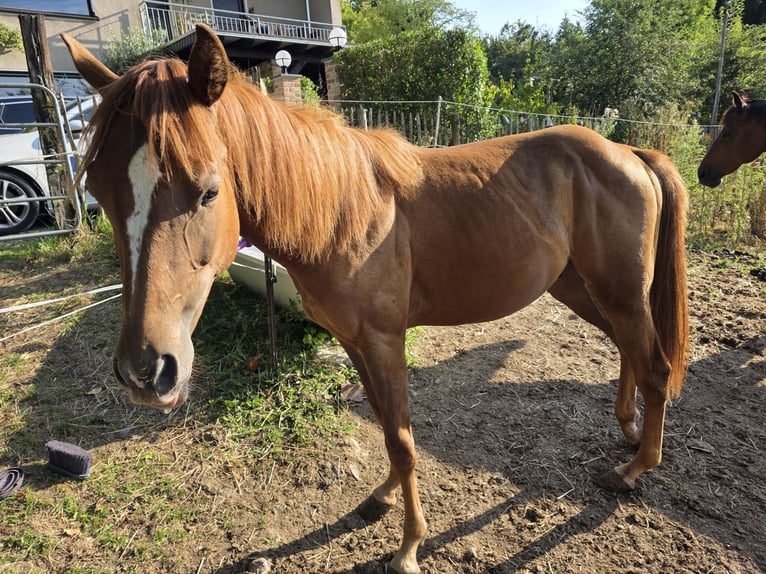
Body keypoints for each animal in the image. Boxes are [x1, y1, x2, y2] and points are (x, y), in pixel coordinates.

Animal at [62, 25, 689, 574]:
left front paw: (408, 548)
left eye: (208, 191)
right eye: (99, 191)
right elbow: (386, 423)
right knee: (629, 353)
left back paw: (634, 468)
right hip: (582, 287)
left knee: (655, 366)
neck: (343, 209)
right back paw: (629, 430)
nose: (146, 372)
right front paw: (382, 499)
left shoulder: (387, 341)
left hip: (617, 292)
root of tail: (627, 150)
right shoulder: (354, 341)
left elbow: (403, 439)